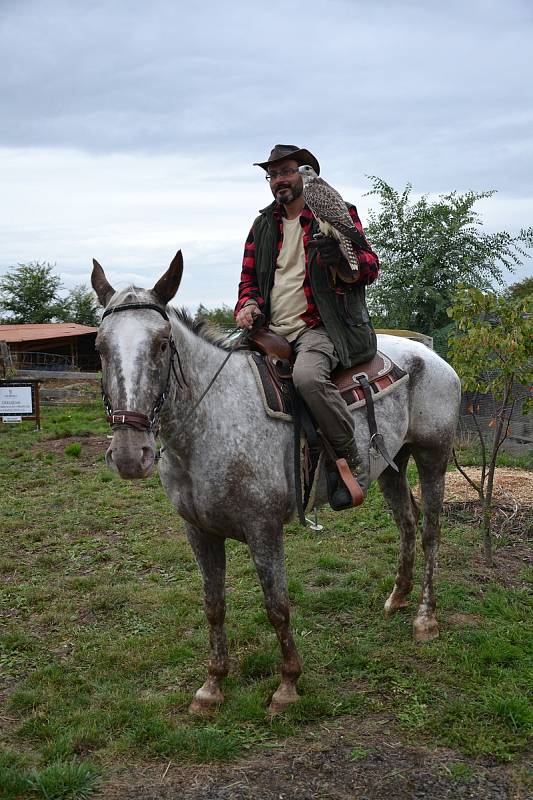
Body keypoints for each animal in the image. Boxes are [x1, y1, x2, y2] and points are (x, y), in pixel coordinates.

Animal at [91, 250, 462, 712]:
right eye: (99, 347)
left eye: (162, 343)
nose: (129, 455)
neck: (212, 420)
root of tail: (433, 359)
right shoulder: (199, 532)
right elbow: (213, 605)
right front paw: (212, 685)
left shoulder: (263, 529)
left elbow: (276, 606)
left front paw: (288, 684)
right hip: (392, 463)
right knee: (407, 523)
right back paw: (397, 598)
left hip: (432, 457)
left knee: (430, 531)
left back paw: (425, 618)